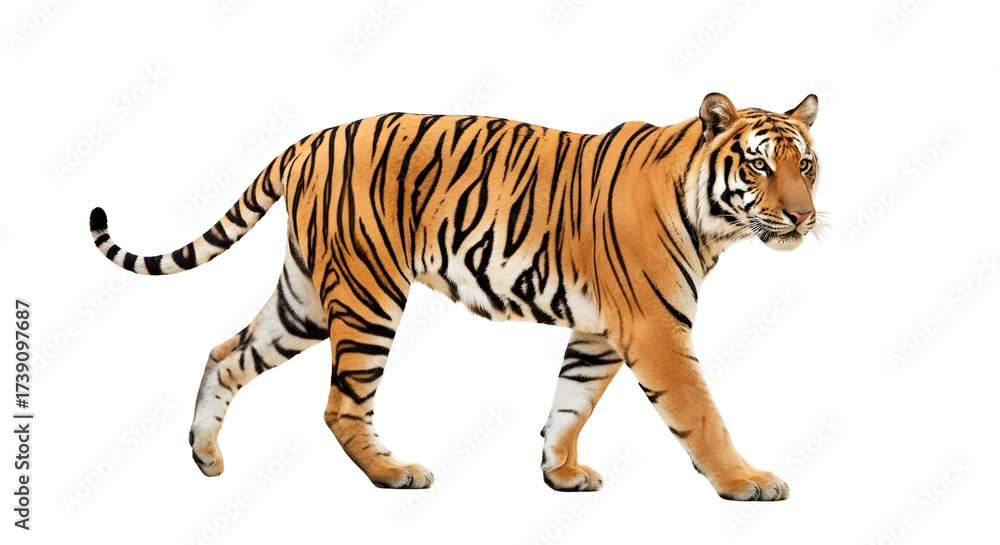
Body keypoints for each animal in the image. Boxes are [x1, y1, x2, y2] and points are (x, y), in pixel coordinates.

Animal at [89, 92, 822, 501]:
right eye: (759, 163)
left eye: (806, 164)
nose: (803, 216)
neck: (714, 223)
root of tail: (310, 139)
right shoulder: (655, 329)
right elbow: (700, 413)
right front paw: (746, 482)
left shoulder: (598, 334)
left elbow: (569, 404)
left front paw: (560, 473)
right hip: (368, 294)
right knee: (340, 406)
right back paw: (394, 474)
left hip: (303, 300)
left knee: (225, 353)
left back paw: (205, 456)